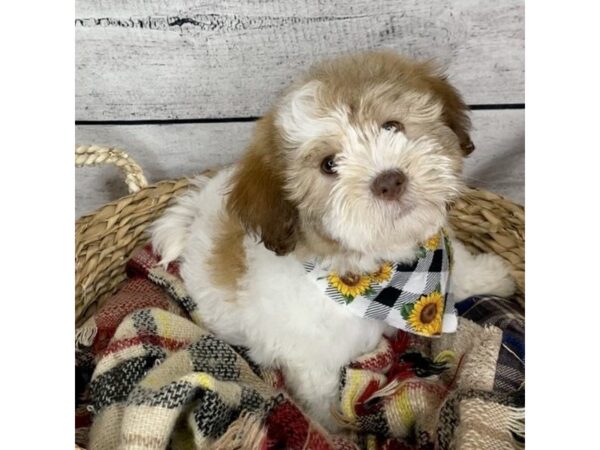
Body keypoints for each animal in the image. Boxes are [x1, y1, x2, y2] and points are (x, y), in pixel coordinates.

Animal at [151, 51, 516, 430]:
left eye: (392, 127)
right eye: (329, 164)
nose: (389, 180)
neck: (382, 276)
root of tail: (199, 205)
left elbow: (460, 264)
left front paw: (492, 276)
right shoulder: (312, 363)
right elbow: (323, 402)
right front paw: (336, 433)